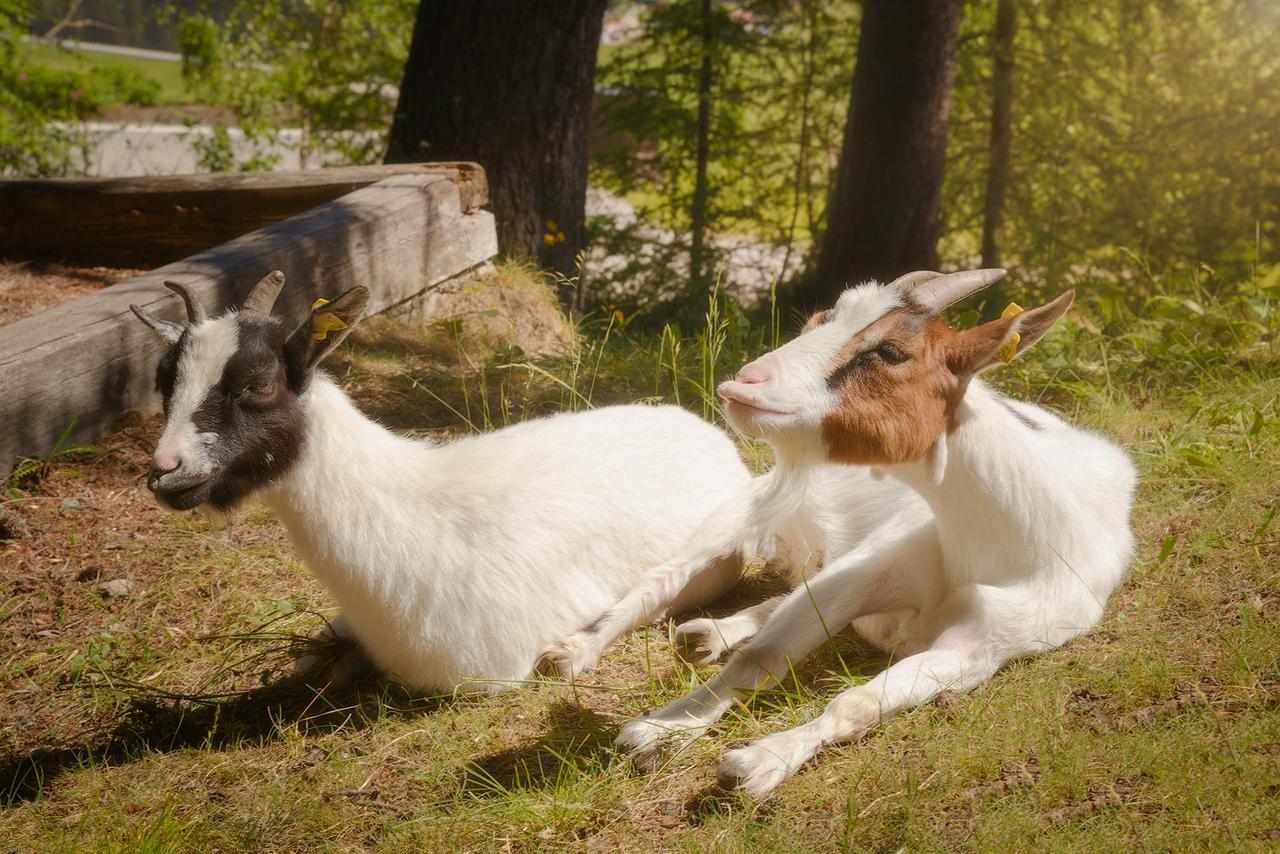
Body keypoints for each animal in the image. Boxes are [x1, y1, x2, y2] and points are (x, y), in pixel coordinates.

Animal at [545, 268, 1136, 804]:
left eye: (892, 351)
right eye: (819, 320)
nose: (744, 383)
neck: (1016, 540)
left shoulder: (987, 646)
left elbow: (858, 703)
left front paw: (761, 760)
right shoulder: (868, 568)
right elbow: (764, 657)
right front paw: (658, 729)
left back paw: (706, 633)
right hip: (742, 510)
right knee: (660, 581)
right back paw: (574, 652)